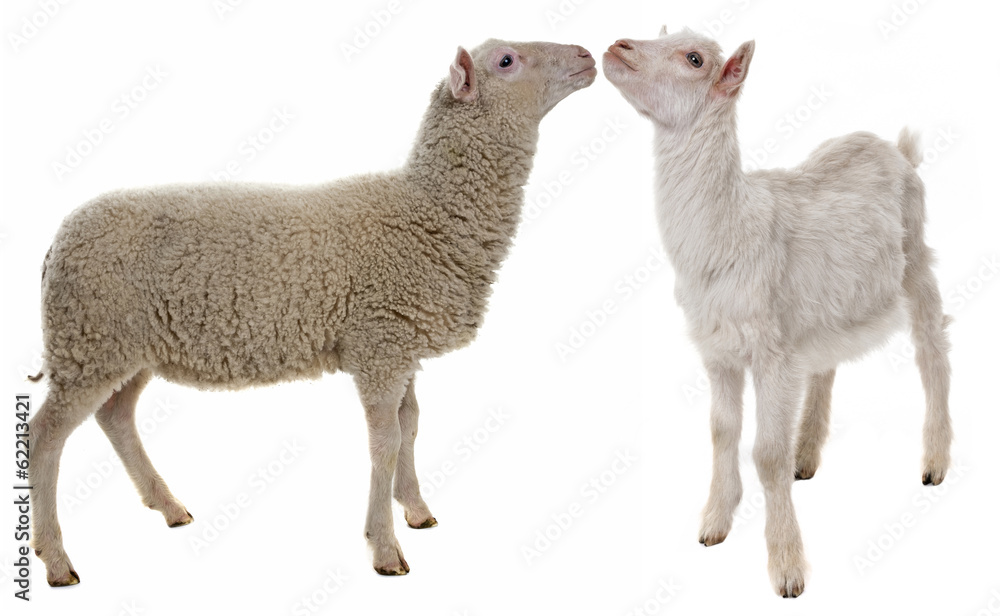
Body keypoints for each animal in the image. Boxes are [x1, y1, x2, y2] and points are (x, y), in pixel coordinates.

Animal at [28, 38, 597, 586]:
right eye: (506, 61)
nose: (588, 56)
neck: (426, 210)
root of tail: (57, 242)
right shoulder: (378, 345)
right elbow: (385, 441)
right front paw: (385, 548)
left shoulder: (401, 341)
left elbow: (411, 425)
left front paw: (415, 509)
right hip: (89, 337)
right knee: (45, 436)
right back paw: (56, 559)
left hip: (122, 346)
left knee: (116, 415)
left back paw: (167, 506)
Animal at [603, 28, 952, 598]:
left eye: (693, 58)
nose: (618, 47)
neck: (730, 228)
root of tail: (897, 149)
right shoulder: (718, 348)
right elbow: (721, 430)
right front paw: (714, 523)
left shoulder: (771, 352)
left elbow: (766, 453)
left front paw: (787, 569)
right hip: (822, 306)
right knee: (828, 363)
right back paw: (806, 457)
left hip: (917, 257)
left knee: (932, 354)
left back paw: (935, 463)